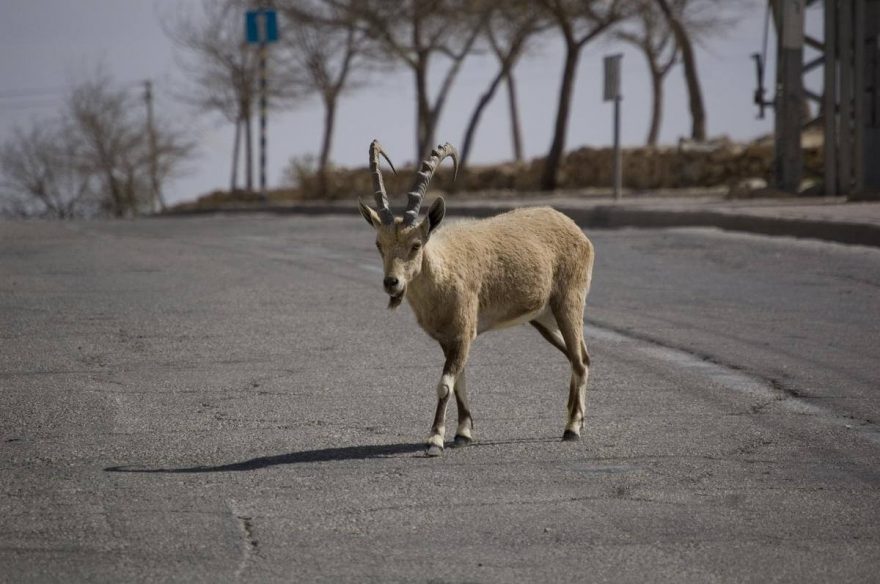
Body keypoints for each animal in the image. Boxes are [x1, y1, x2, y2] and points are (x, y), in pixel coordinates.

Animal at [360, 140, 600, 456]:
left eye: (416, 245)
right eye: (379, 244)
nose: (392, 283)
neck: (443, 273)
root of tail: (576, 229)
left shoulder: (464, 332)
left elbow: (444, 384)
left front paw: (435, 440)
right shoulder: (448, 339)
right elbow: (459, 381)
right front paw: (463, 433)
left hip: (570, 303)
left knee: (580, 359)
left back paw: (572, 428)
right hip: (545, 318)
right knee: (578, 356)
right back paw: (577, 419)